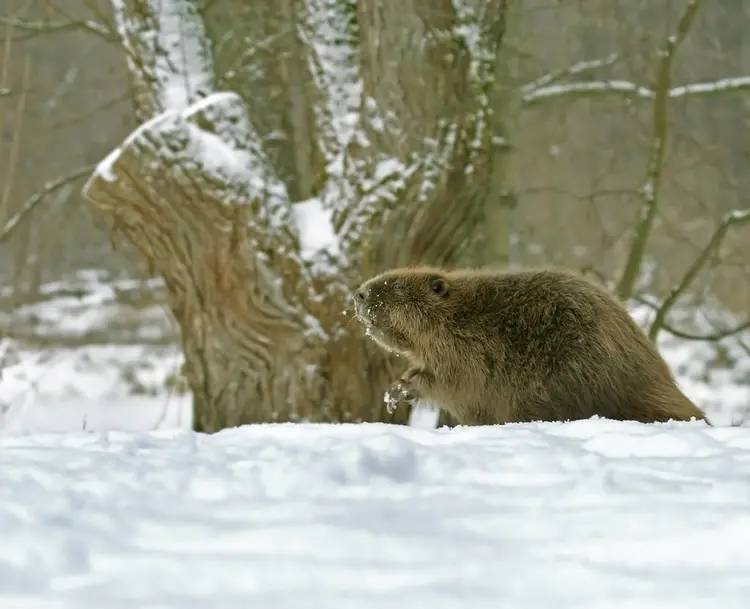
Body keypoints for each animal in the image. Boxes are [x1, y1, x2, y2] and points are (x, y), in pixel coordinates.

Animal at [352, 264, 712, 426]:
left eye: (397, 286)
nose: (358, 294)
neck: (458, 316)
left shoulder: (465, 351)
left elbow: (447, 381)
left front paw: (400, 389)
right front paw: (395, 390)